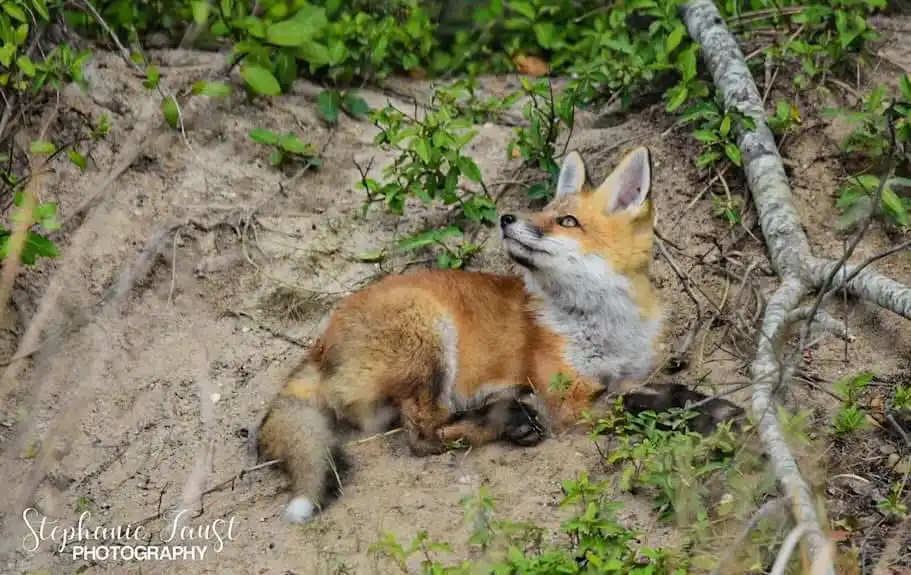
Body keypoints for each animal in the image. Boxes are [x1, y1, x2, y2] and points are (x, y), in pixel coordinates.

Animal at [254, 146, 746, 524]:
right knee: (423, 434)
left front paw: (713, 408)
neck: (604, 326)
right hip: (430, 338)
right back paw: (506, 422)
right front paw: (706, 417)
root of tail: (320, 344)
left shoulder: (631, 372)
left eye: (566, 221)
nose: (507, 217)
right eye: (542, 212)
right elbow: (640, 405)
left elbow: (662, 389)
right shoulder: (568, 402)